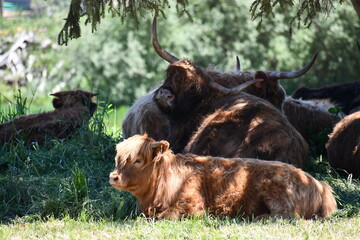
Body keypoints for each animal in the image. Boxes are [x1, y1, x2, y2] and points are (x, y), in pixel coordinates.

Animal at [109, 134, 338, 220]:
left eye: (138, 160)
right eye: (118, 157)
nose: (114, 177)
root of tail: (319, 183)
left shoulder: (192, 205)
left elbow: (166, 216)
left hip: (278, 192)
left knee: (287, 216)